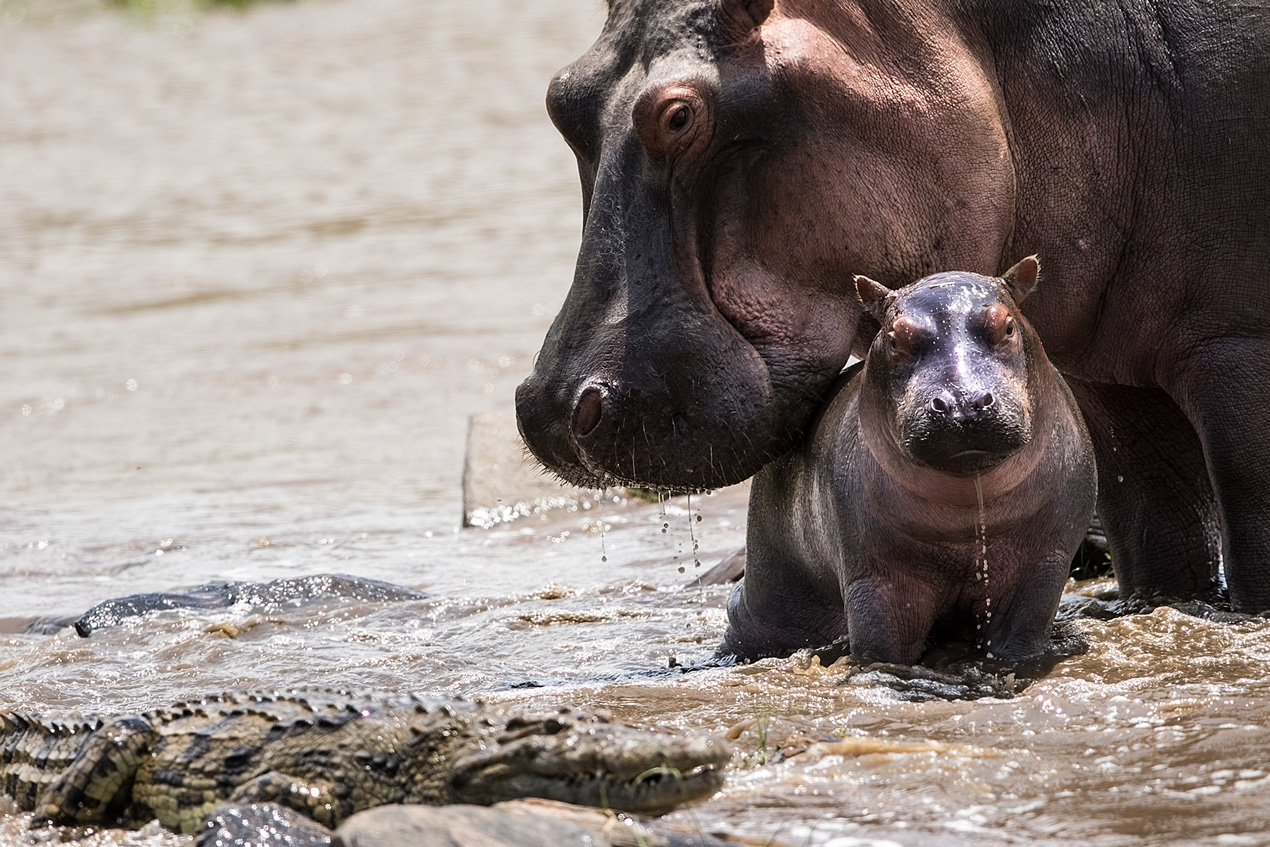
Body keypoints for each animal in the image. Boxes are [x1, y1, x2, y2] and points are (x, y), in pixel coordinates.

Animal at [515, 0, 1270, 609]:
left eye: (678, 115)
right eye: (561, 98)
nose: (552, 407)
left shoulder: (1236, 344)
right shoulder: (1109, 386)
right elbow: (1157, 531)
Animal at [726, 256, 1102, 660]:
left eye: (1007, 325)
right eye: (894, 338)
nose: (962, 403)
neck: (968, 512)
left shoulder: (1040, 568)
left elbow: (1019, 638)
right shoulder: (878, 581)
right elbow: (882, 649)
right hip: (769, 597)